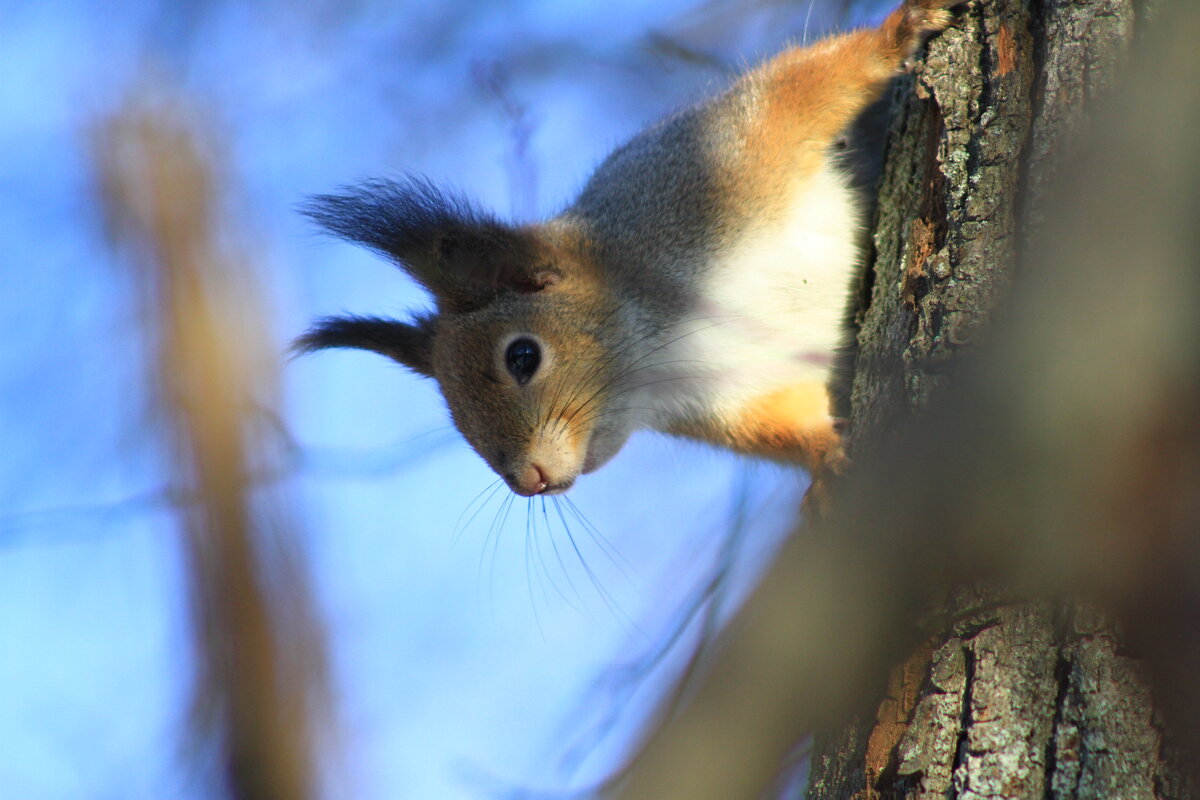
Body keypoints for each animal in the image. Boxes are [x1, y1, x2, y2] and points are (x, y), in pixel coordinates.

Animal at [297, 0, 955, 506]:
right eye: (451, 409)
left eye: (522, 357)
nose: (528, 481)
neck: (661, 341)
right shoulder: (725, 397)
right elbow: (779, 421)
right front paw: (827, 456)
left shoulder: (717, 165)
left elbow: (806, 88)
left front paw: (902, 29)